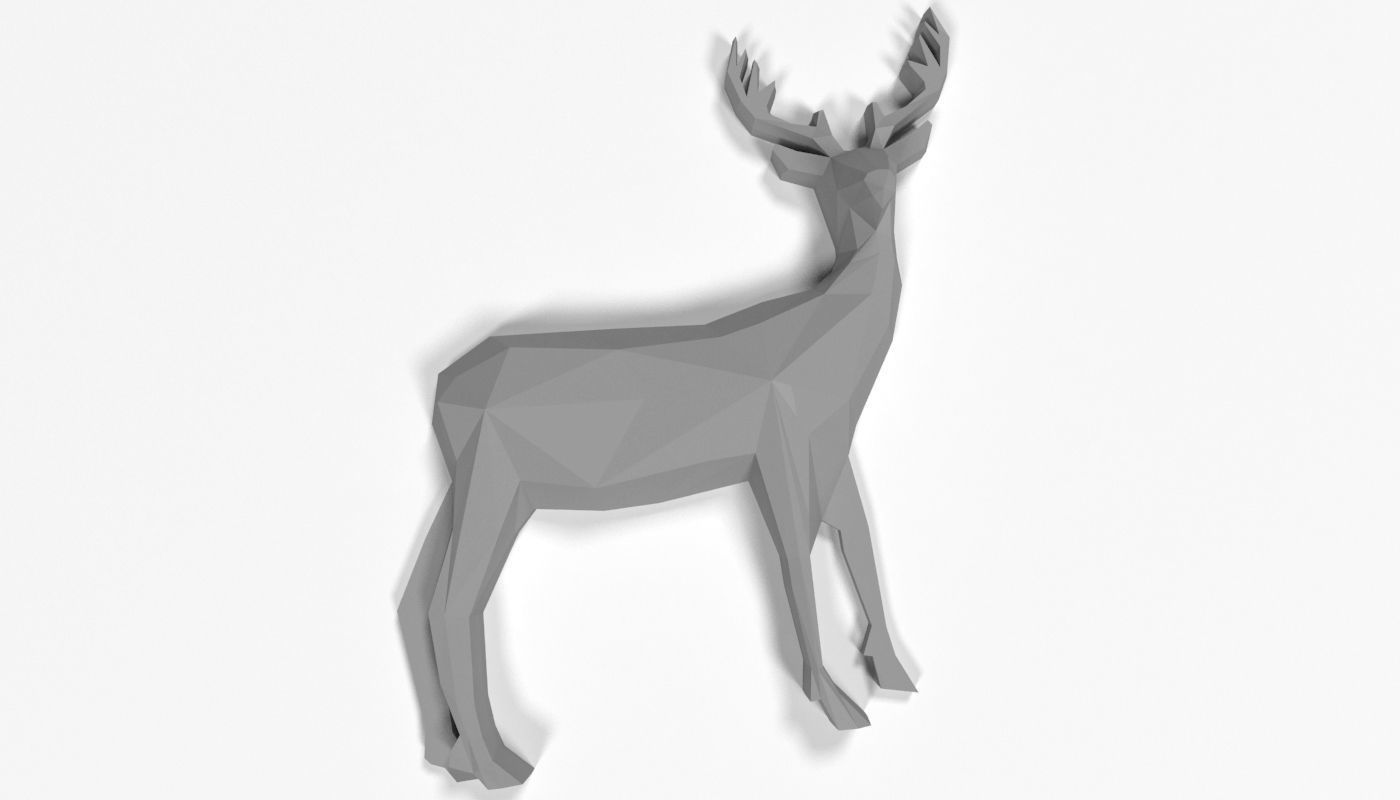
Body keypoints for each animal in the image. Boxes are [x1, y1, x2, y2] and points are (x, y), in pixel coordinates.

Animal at [398, 9, 950, 788]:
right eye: (831, 185)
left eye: (886, 174)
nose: (871, 214)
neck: (828, 353)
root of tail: (441, 390)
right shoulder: (776, 451)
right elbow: (796, 566)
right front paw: (838, 704)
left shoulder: (832, 449)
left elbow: (862, 545)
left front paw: (895, 672)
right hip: (497, 487)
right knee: (452, 606)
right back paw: (502, 765)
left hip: (462, 485)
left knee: (414, 597)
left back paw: (452, 757)